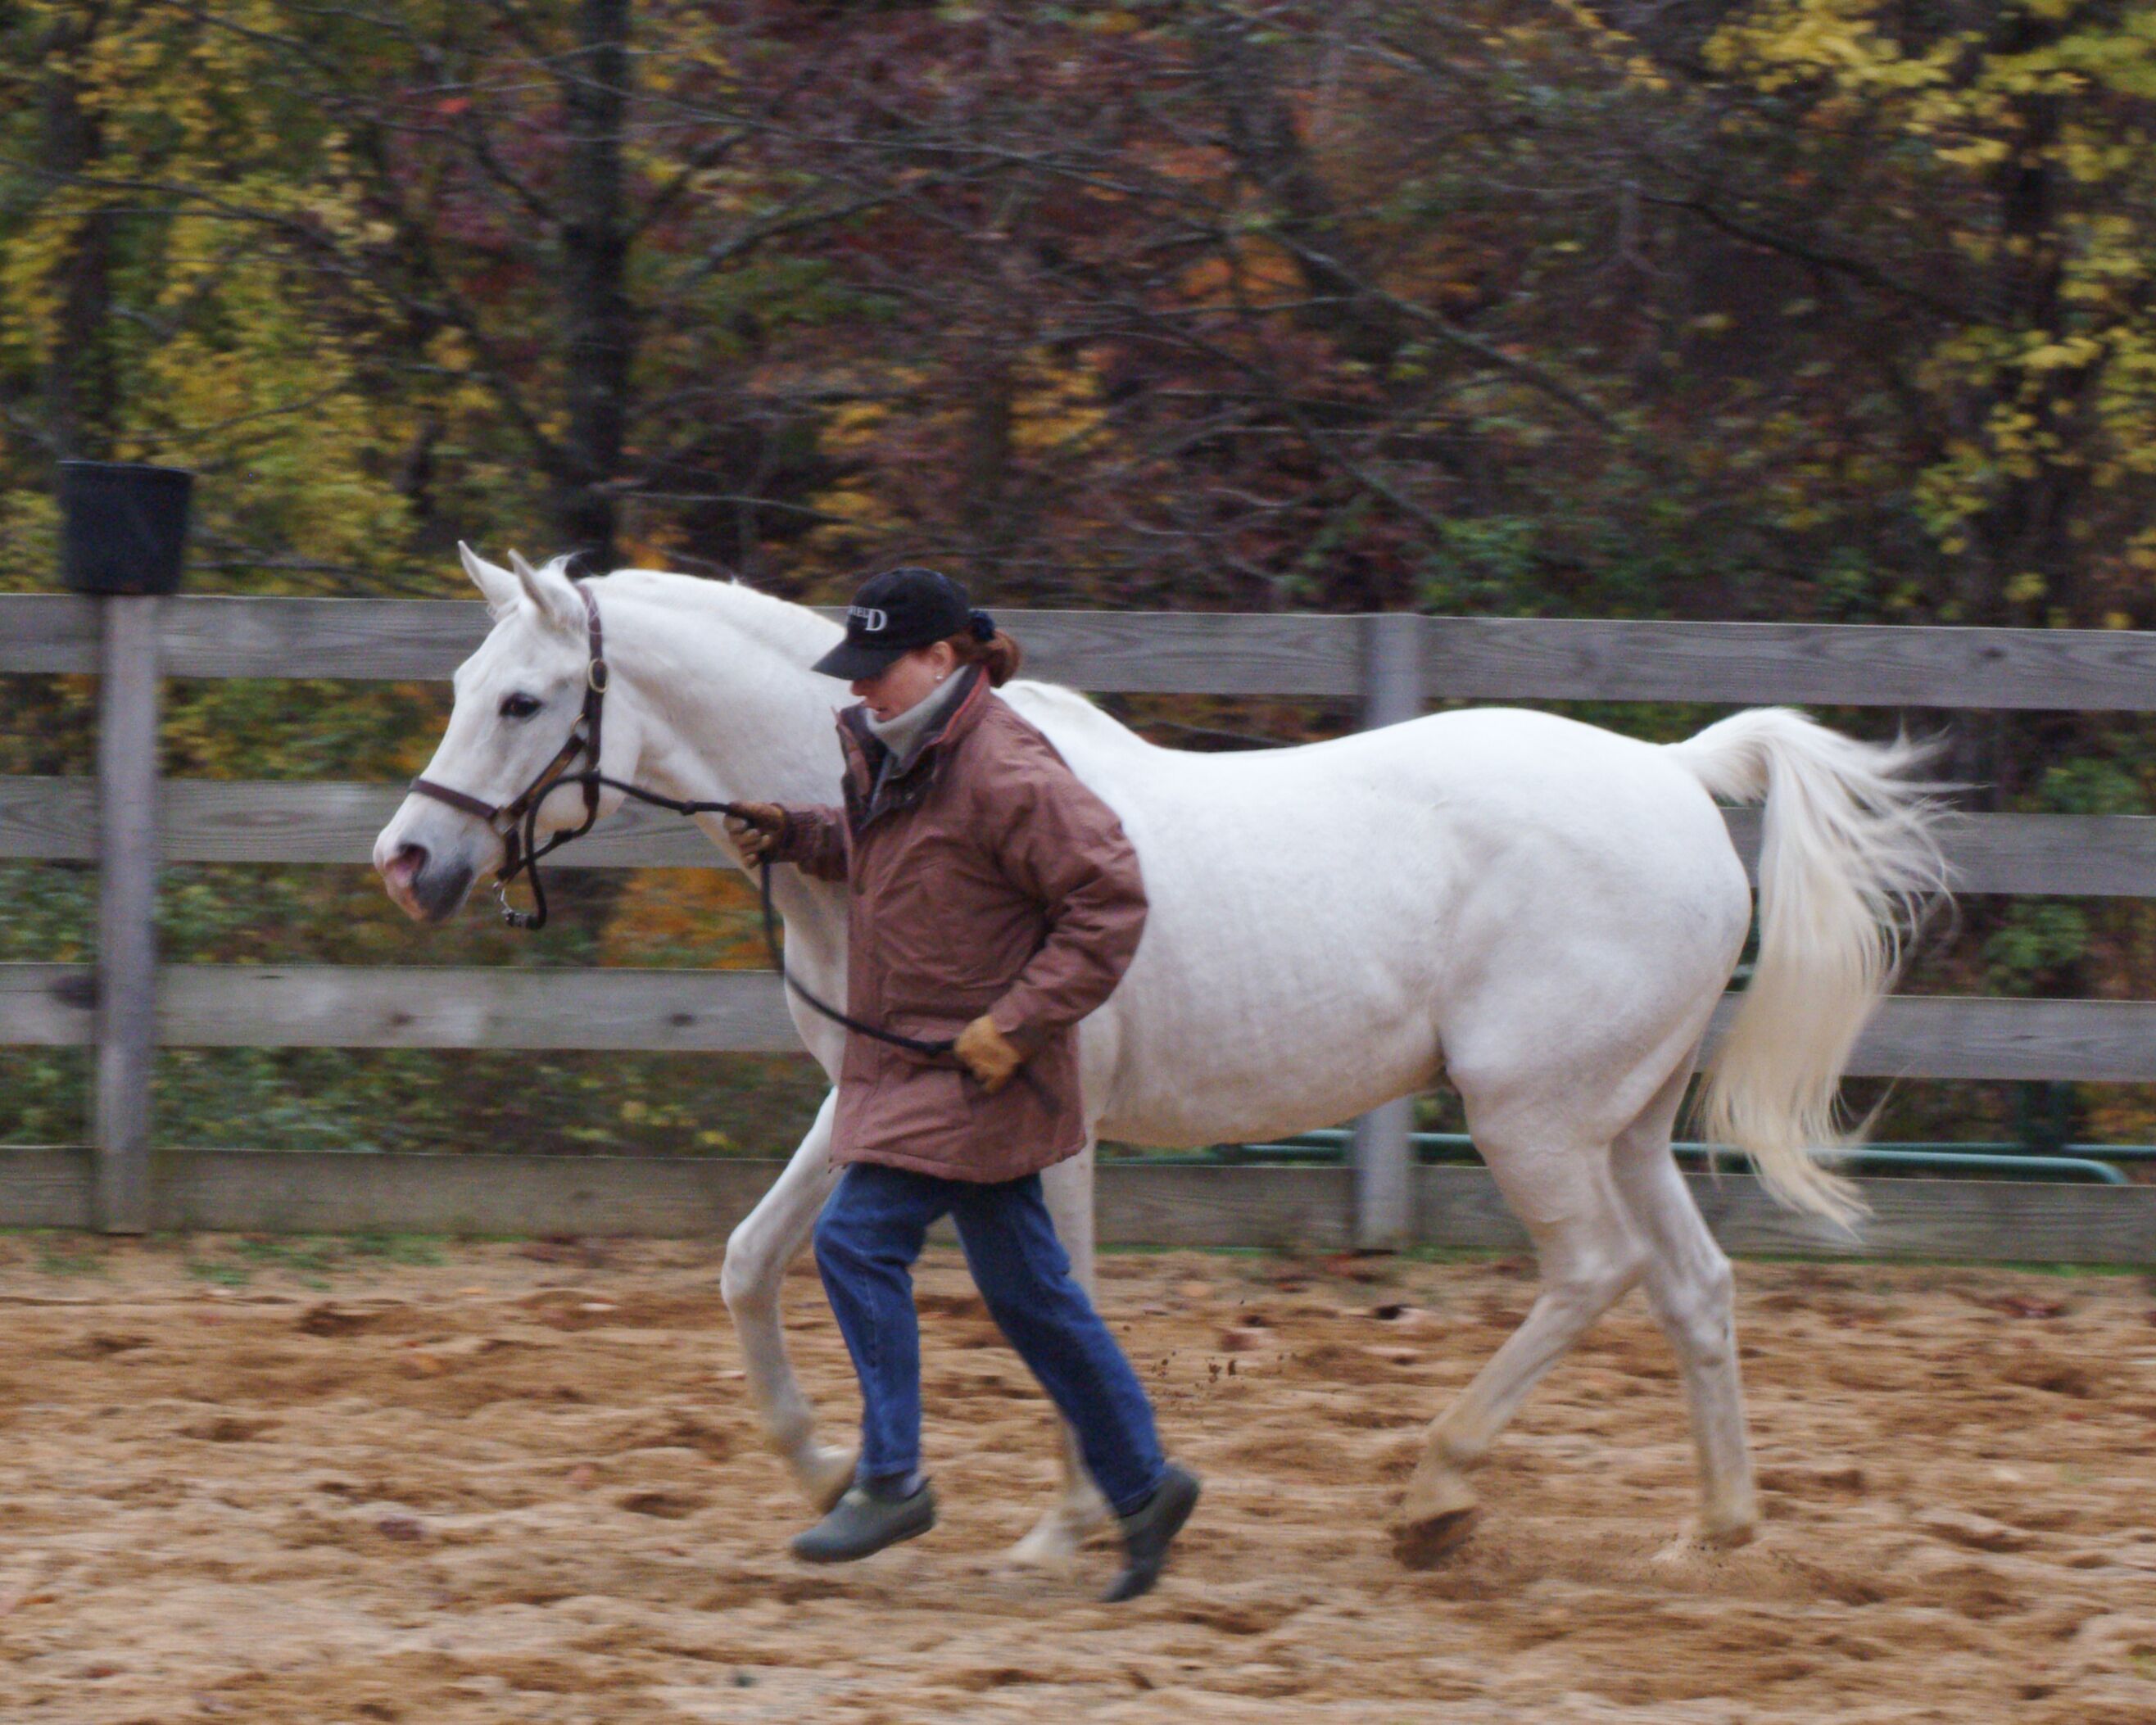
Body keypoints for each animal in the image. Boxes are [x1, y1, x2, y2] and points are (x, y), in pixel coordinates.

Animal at [373, 546, 1943, 1568]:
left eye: (523, 700)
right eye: (464, 677)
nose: (408, 862)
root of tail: (1674, 773)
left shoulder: (1043, 1117)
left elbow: (1051, 1300)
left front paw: (1067, 1521)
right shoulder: (876, 1092)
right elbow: (753, 1260)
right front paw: (829, 1470)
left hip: (1531, 1117)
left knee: (1592, 1274)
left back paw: (1435, 1492)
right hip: (1624, 1121)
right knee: (1694, 1287)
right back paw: (1710, 1531)